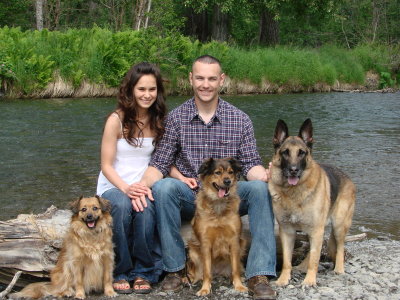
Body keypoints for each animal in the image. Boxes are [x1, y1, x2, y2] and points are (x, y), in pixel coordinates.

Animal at [187, 158, 247, 296]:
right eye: (217, 172)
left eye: (231, 172)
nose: (227, 181)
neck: (219, 204)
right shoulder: (205, 242)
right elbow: (206, 271)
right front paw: (205, 288)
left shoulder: (234, 241)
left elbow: (235, 269)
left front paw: (239, 285)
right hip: (192, 251)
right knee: (197, 271)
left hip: (242, 246)